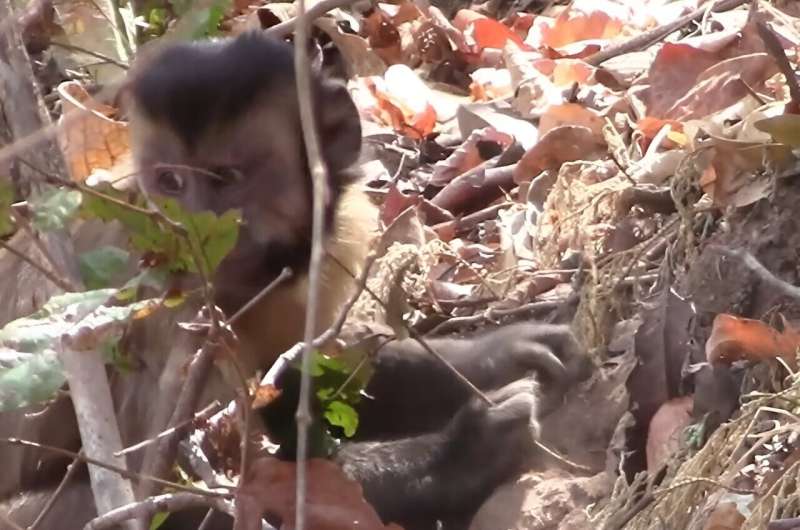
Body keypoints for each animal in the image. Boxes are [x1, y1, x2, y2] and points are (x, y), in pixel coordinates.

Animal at [0, 32, 592, 530]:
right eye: (170, 183)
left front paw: (496, 353)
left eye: (226, 178)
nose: (193, 228)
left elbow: (306, 370)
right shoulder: (152, 291)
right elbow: (188, 489)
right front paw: (461, 454)